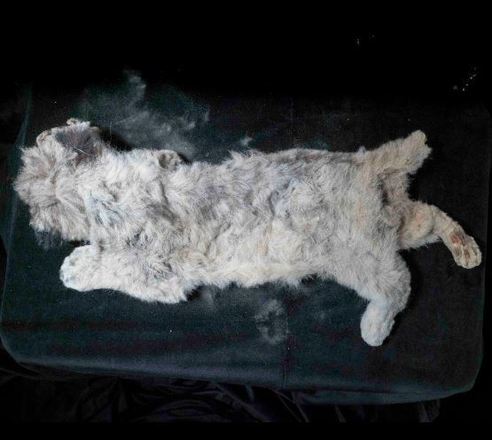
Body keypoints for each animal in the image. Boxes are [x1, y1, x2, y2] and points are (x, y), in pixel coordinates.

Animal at [13, 119, 481, 346]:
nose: (31, 220)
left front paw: (76, 267)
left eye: (43, 205)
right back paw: (466, 248)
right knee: (432, 215)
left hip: (362, 260)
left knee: (400, 286)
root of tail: (367, 167)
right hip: (399, 226)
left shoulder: (162, 275)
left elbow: (118, 267)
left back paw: (375, 326)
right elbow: (158, 160)